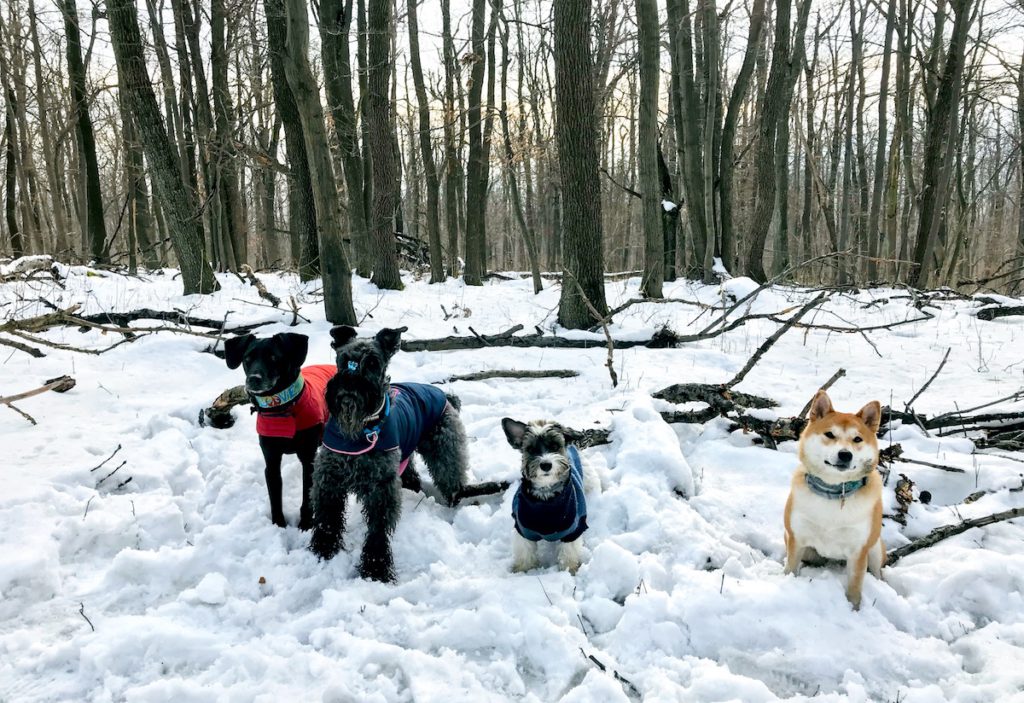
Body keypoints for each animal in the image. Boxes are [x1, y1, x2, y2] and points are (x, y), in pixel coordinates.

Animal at [224, 333, 335, 528]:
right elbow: (275, 498)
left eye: (274, 357)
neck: (281, 407)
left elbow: (307, 497)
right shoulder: (272, 460)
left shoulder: (307, 459)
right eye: (247, 358)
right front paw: (279, 525)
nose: (254, 378)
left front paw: (305, 524)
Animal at [305, 327, 468, 585]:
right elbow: (327, 518)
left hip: (445, 452)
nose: (349, 385)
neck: (359, 434)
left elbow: (378, 530)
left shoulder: (381, 488)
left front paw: (375, 569)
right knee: (411, 472)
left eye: (373, 362)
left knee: (452, 479)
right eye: (343, 358)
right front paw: (323, 550)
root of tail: (445, 395)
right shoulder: (328, 478)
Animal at [782, 390, 888, 609]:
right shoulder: (797, 539)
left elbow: (855, 588)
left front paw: (854, 609)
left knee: (877, 572)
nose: (845, 454)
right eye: (830, 434)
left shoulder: (858, 552)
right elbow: (791, 569)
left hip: (874, 550)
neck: (833, 490)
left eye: (857, 439)